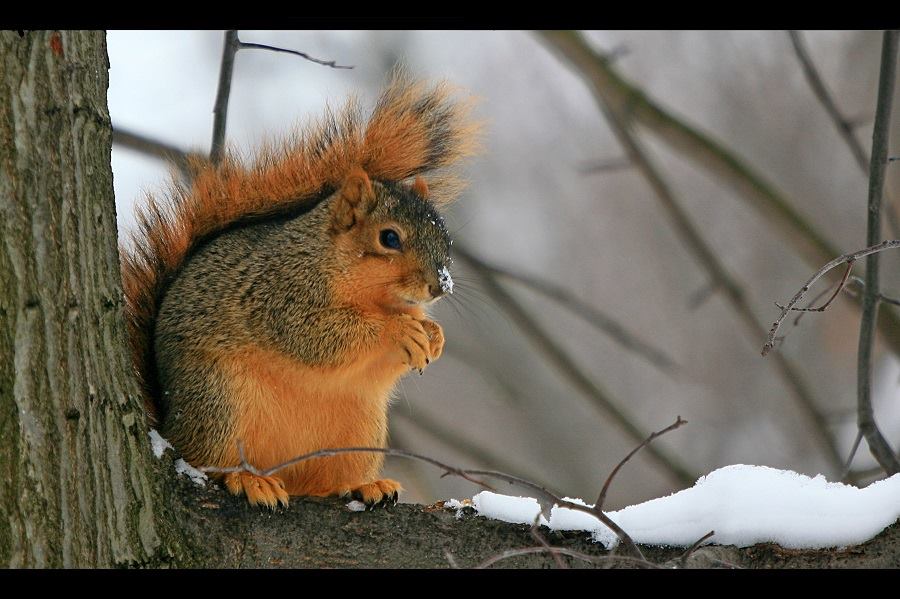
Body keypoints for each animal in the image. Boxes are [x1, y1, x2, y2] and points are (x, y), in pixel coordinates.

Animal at [125, 72, 486, 508]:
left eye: (445, 237)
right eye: (389, 238)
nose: (440, 285)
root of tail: (172, 430)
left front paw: (433, 335)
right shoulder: (282, 294)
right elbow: (317, 337)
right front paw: (398, 331)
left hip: (358, 432)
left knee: (325, 482)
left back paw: (365, 486)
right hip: (218, 403)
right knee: (210, 462)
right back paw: (248, 480)